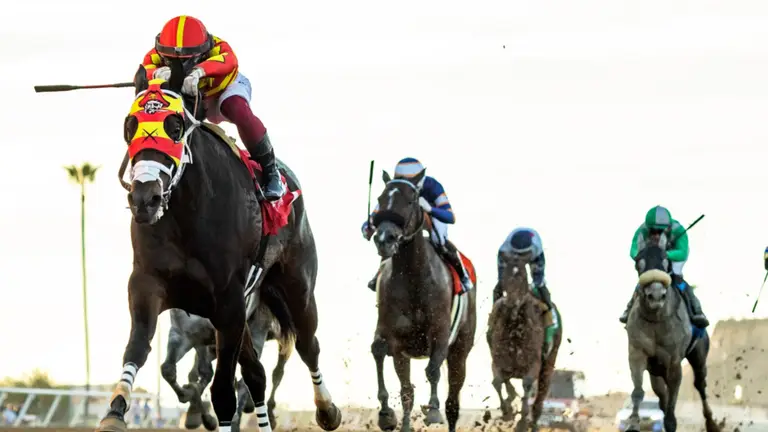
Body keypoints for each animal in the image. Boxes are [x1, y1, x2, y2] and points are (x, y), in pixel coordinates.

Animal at [368, 169, 477, 432]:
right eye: (380, 199)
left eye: (410, 201)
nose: (384, 238)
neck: (414, 277)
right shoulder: (397, 340)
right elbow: (406, 390)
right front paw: (391, 417)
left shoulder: (439, 333)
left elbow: (433, 371)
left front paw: (433, 410)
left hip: (460, 351)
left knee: (453, 402)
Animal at [486, 252, 562, 432]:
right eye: (505, 275)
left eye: (522, 276)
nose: (512, 302)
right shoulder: (498, 361)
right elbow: (498, 382)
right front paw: (507, 411)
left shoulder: (533, 364)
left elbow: (527, 386)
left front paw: (521, 422)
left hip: (548, 366)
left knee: (539, 400)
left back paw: (533, 424)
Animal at [625, 232, 719, 432]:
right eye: (639, 262)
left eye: (665, 260)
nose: (656, 295)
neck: (656, 320)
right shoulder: (637, 353)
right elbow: (638, 391)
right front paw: (634, 423)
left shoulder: (674, 362)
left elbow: (672, 404)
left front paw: (669, 422)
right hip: (655, 370)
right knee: (662, 395)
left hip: (699, 356)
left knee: (700, 385)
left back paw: (711, 423)